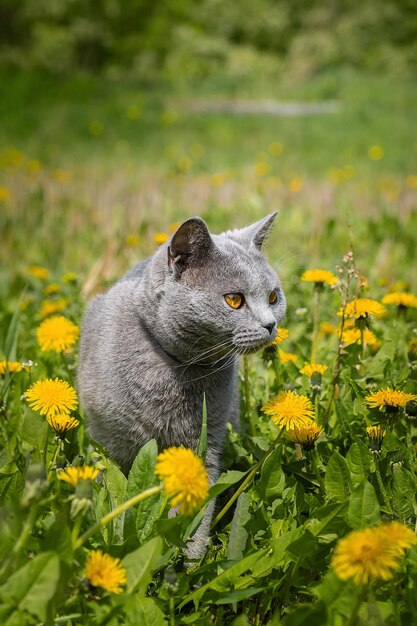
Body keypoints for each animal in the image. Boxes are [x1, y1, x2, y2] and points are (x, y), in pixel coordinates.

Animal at [77, 212, 286, 552]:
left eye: (273, 297)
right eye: (234, 300)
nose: (271, 324)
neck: (180, 369)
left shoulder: (205, 442)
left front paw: (190, 557)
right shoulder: (110, 441)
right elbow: (115, 490)